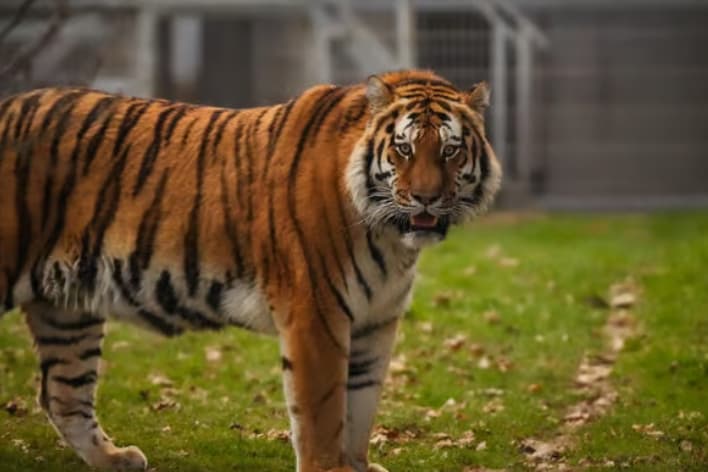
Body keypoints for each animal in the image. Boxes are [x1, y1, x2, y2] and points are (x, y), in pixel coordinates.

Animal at [0, 69, 501, 471]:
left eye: (451, 150)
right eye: (403, 148)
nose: (426, 199)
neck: (390, 239)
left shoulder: (376, 321)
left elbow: (361, 402)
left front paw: (357, 465)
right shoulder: (317, 314)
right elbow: (323, 411)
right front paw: (329, 468)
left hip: (67, 308)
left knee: (63, 394)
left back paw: (114, 459)